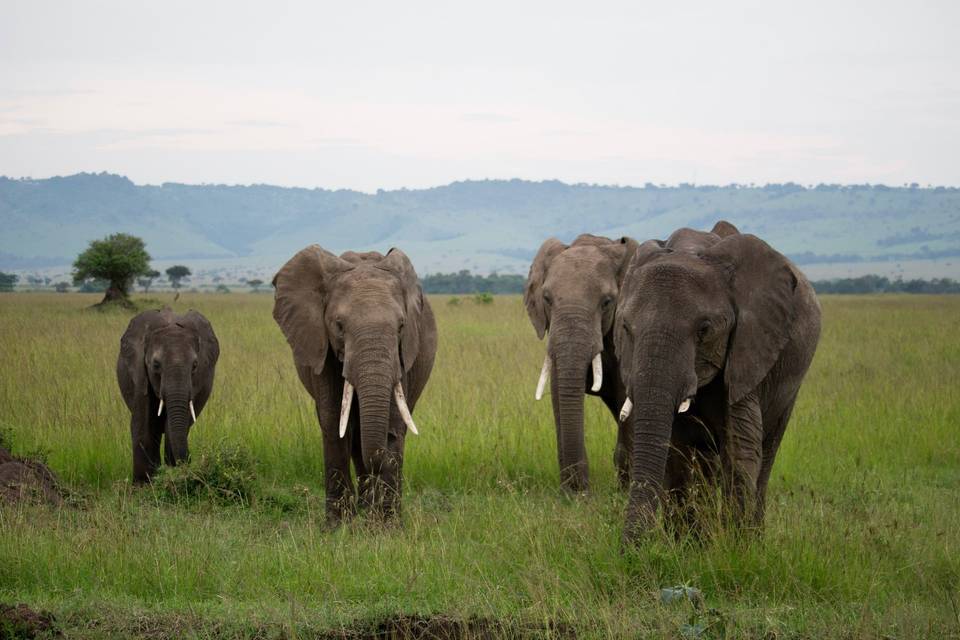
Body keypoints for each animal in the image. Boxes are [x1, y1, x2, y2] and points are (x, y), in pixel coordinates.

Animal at [117, 308, 220, 482]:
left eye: (195, 365)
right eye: (156, 365)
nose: (191, 463)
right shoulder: (138, 373)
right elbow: (142, 422)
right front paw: (143, 484)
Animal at [270, 245, 436, 524]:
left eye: (401, 326)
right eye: (339, 325)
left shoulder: (402, 357)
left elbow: (392, 425)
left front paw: (386, 526)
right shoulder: (322, 348)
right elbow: (333, 422)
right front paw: (337, 525)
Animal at [520, 232, 640, 492]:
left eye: (607, 302)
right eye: (547, 298)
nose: (580, 490)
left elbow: (627, 395)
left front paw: (624, 491)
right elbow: (558, 391)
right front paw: (573, 492)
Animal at [616, 220, 816, 540]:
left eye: (704, 330)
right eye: (626, 327)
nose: (628, 549)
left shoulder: (749, 350)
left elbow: (739, 449)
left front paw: (736, 545)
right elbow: (676, 453)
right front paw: (687, 544)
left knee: (766, 454)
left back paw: (754, 536)